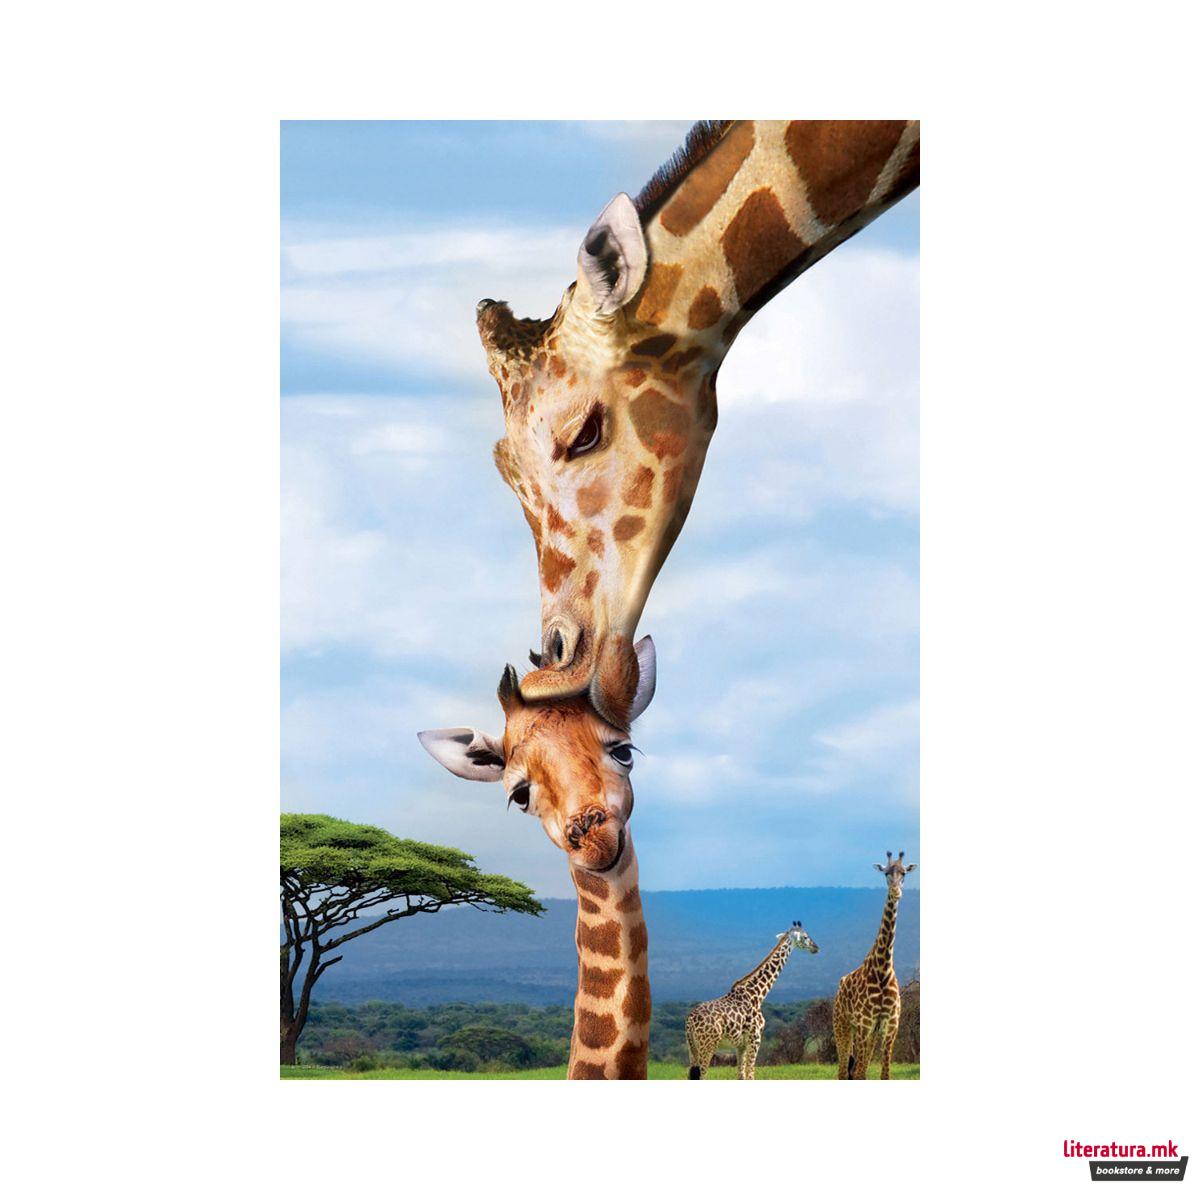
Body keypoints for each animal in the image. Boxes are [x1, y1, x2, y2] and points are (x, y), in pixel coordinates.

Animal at [685, 920, 819, 1080]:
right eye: (805, 937)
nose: (816, 947)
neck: (757, 995)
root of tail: (690, 1021)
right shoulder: (755, 1039)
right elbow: (750, 1075)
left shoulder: (740, 1045)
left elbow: (741, 1075)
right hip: (707, 1046)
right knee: (702, 1076)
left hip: (692, 1048)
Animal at [833, 851, 917, 1079]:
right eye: (886, 873)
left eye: (904, 872)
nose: (896, 892)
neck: (883, 969)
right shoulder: (864, 1024)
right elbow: (860, 1073)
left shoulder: (890, 1026)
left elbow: (884, 1075)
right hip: (842, 1026)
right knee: (844, 1071)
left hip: (869, 1034)